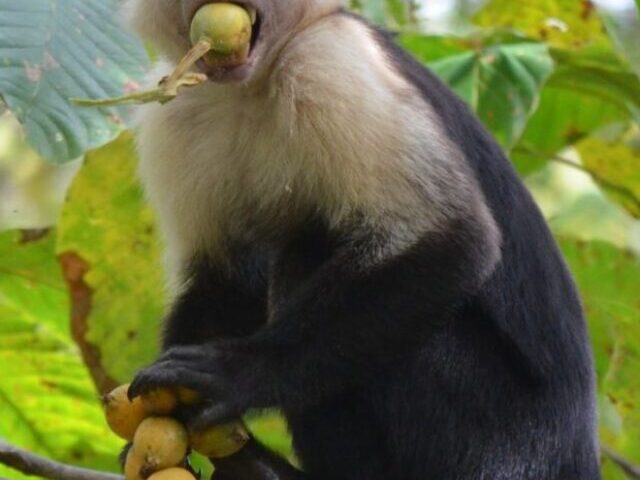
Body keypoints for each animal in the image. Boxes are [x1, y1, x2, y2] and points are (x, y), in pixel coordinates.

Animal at [120, 0, 600, 480]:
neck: (250, 85)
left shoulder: (329, 58)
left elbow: (454, 238)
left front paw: (241, 373)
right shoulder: (177, 110)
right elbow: (225, 281)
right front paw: (169, 418)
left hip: (501, 442)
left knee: (308, 251)